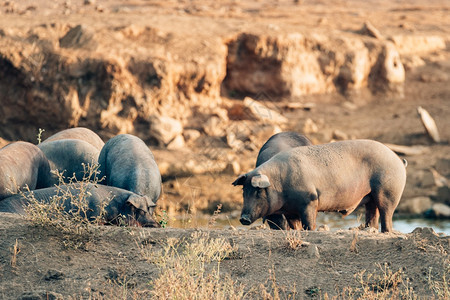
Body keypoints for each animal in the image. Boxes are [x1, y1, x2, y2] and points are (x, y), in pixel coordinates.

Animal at [232, 139, 408, 233]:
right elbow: (295, 226)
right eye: (244, 191)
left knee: (387, 213)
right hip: (370, 197)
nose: (243, 218)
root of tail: (398, 159)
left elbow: (309, 223)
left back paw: (386, 231)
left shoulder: (309, 201)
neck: (280, 184)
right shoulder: (291, 212)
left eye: (258, 192)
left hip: (388, 192)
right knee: (372, 215)